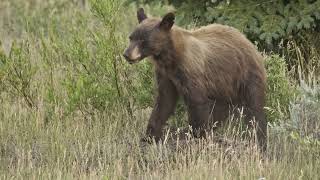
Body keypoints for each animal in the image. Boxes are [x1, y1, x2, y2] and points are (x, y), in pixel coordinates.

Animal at [122, 8, 268, 152]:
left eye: (143, 40)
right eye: (131, 37)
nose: (126, 54)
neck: (169, 57)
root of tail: (249, 42)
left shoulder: (190, 71)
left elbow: (196, 101)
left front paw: (197, 136)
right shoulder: (165, 74)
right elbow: (164, 101)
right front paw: (149, 136)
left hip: (245, 74)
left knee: (254, 106)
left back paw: (260, 140)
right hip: (222, 86)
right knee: (221, 110)